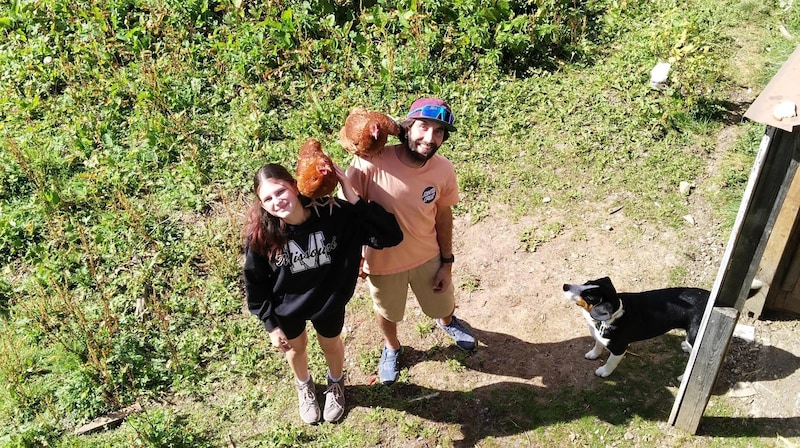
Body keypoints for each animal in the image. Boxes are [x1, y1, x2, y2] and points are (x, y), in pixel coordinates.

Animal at [560, 278, 708, 376]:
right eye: (586, 282)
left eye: (589, 296)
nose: (565, 286)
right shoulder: (600, 337)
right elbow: (598, 344)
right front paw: (593, 354)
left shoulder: (619, 349)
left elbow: (610, 362)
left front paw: (604, 371)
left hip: (695, 336)